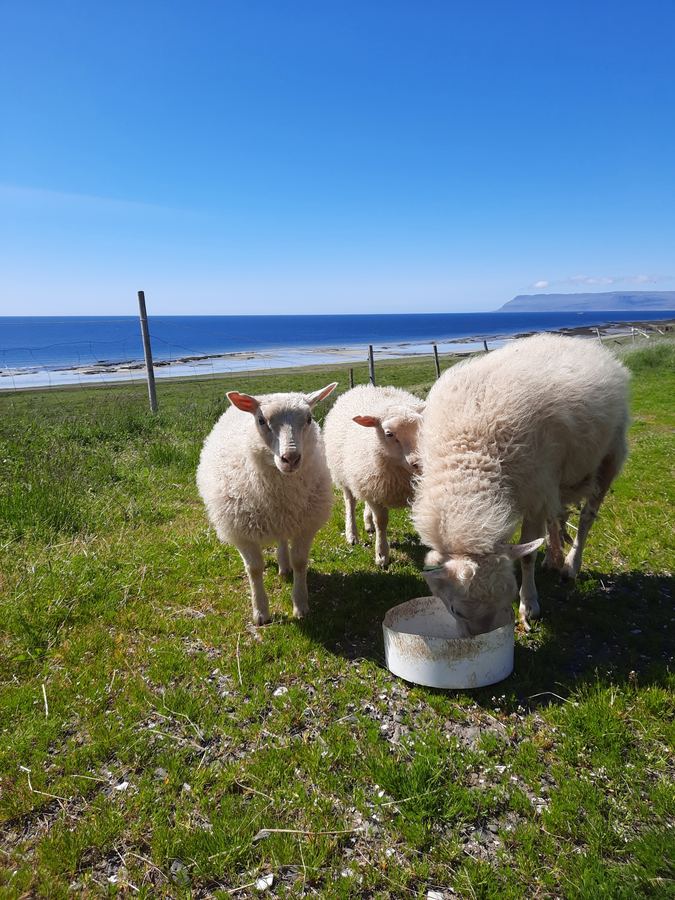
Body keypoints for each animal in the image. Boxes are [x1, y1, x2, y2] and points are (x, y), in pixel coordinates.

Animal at [196, 382, 337, 625]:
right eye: (261, 420)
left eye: (309, 418)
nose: (291, 458)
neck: (280, 494)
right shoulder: (241, 532)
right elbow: (254, 569)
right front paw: (260, 612)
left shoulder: (305, 525)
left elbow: (300, 562)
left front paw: (300, 605)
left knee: (282, 539)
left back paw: (284, 566)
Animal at [323, 384, 425, 566]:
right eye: (389, 434)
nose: (418, 463)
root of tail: (362, 387)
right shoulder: (374, 491)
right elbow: (381, 523)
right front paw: (382, 555)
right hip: (348, 477)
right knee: (350, 503)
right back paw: (352, 534)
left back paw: (367, 523)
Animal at [412, 334, 629, 635]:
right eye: (455, 610)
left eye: (508, 599)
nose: (480, 639)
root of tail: (577, 341)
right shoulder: (540, 487)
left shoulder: (535, 497)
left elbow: (527, 556)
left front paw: (529, 606)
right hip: (554, 478)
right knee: (557, 514)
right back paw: (553, 557)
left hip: (608, 457)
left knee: (587, 517)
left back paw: (570, 565)